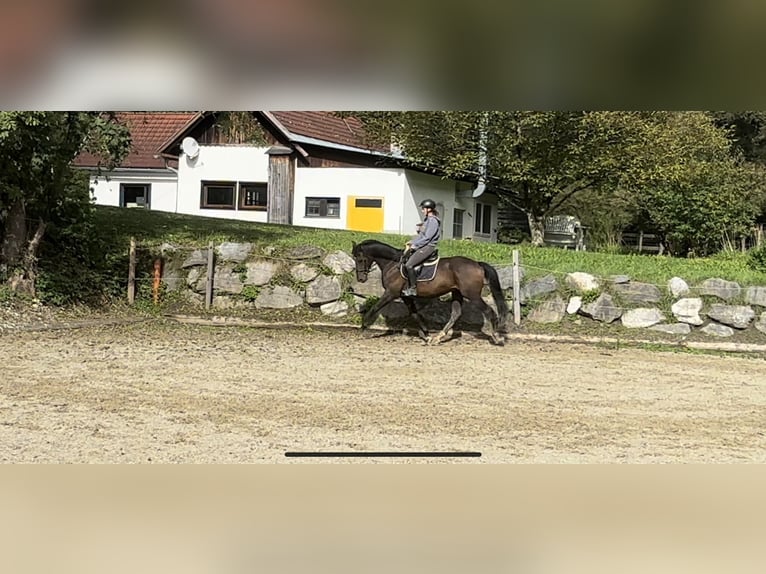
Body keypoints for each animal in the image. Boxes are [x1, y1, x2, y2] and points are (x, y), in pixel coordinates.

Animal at [352, 240, 510, 346]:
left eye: (360, 259)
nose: (361, 279)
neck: (393, 264)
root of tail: (477, 264)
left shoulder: (391, 293)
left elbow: (374, 308)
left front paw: (363, 328)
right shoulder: (405, 296)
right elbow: (415, 314)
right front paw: (426, 335)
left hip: (472, 295)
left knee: (489, 312)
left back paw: (497, 337)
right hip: (457, 292)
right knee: (456, 314)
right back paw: (437, 338)